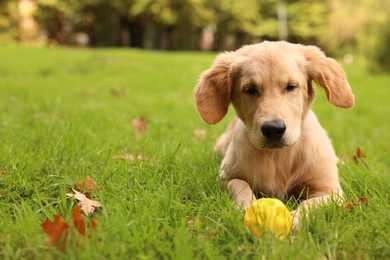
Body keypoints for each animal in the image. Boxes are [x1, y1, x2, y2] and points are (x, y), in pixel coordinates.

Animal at [193, 40, 354, 228]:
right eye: (250, 89)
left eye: (291, 86)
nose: (273, 129)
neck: (277, 157)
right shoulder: (225, 176)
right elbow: (239, 184)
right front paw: (249, 210)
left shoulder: (330, 190)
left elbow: (310, 203)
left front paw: (295, 220)